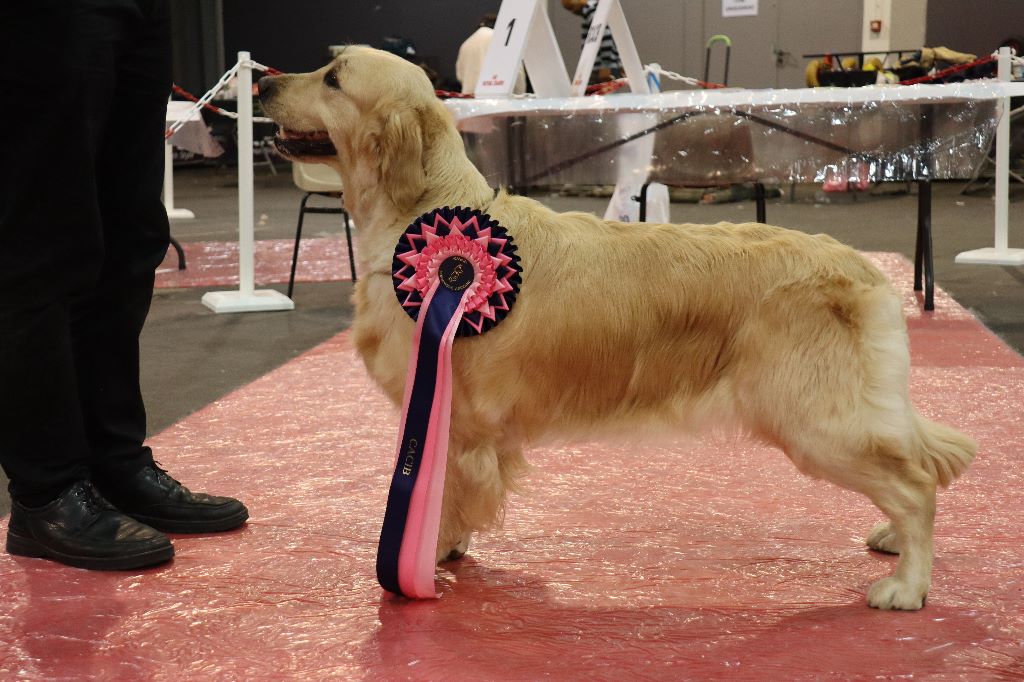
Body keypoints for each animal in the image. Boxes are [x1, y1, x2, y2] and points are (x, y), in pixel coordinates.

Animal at [256, 49, 974, 610]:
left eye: (332, 77)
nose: (261, 81)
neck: (427, 221)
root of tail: (862, 267)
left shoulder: (455, 418)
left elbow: (448, 499)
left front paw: (419, 564)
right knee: (912, 465)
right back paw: (892, 541)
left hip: (812, 419)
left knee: (914, 484)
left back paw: (908, 586)